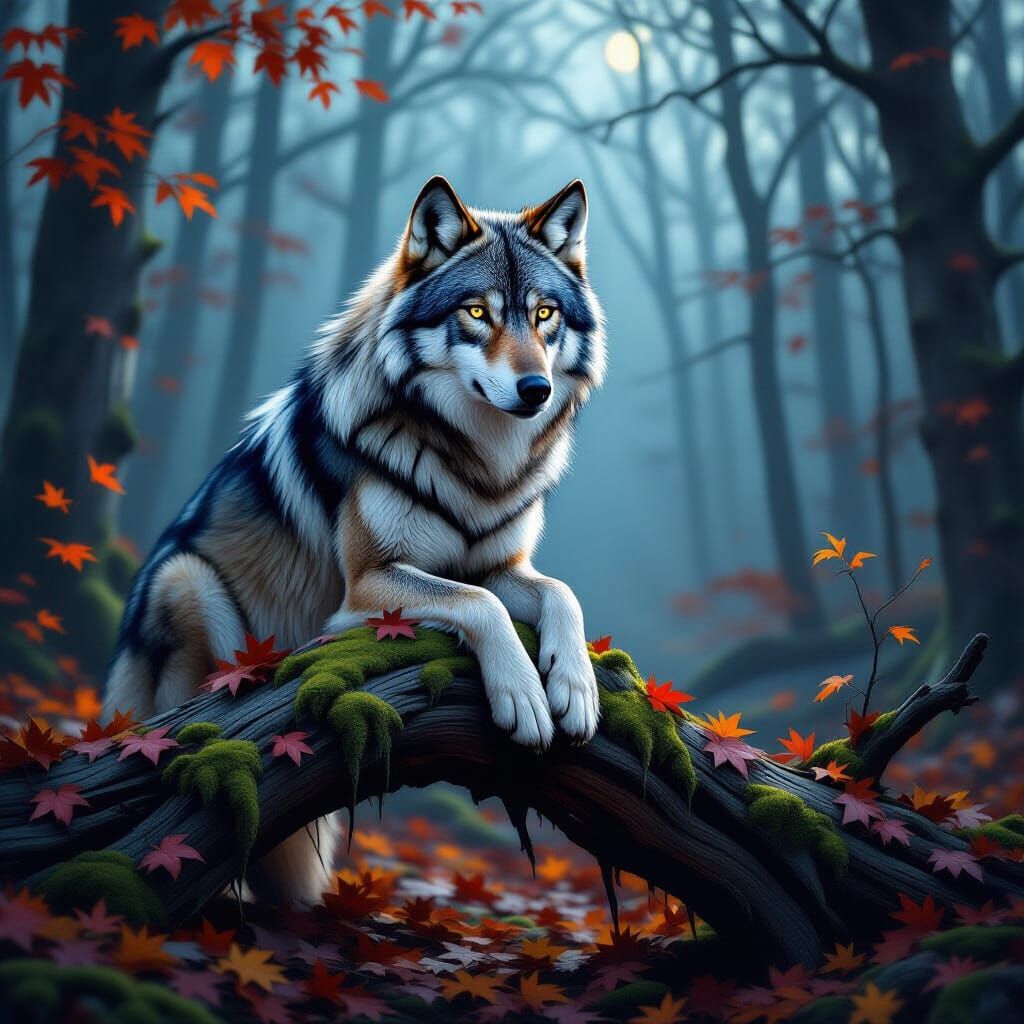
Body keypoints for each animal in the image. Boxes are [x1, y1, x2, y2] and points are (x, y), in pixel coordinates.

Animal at [104, 176, 607, 902]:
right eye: (477, 313)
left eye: (544, 315)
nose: (535, 388)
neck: (477, 464)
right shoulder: (371, 581)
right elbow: (479, 606)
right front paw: (523, 697)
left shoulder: (499, 564)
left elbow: (561, 593)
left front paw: (574, 686)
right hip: (185, 578)